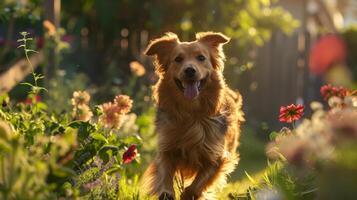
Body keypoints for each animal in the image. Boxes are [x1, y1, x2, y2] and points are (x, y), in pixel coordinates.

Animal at [142, 32, 242, 199]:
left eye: (201, 58)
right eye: (178, 59)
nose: (189, 70)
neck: (191, 114)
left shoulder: (216, 158)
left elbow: (196, 186)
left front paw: (187, 194)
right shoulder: (167, 148)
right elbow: (165, 172)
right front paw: (166, 193)